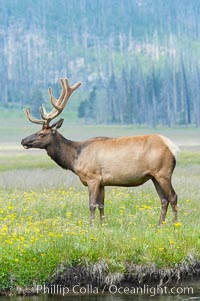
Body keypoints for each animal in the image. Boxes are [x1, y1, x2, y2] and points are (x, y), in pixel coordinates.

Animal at [21, 77, 179, 223]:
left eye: (41, 134)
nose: (23, 140)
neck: (74, 158)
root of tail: (173, 148)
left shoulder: (92, 177)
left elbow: (91, 205)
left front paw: (91, 225)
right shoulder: (102, 182)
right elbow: (101, 205)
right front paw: (103, 225)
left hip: (163, 172)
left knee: (173, 197)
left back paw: (175, 224)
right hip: (154, 176)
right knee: (164, 199)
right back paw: (160, 224)